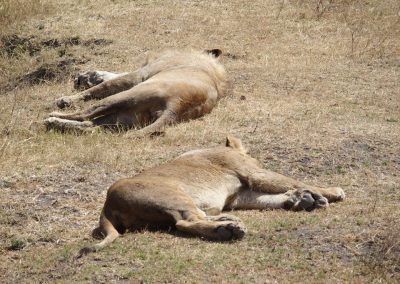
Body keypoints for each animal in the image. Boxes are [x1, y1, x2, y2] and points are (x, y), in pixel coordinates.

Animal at [79, 136, 346, 256]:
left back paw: (229, 222)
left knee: (192, 219)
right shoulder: (253, 173)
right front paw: (331, 191)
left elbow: (272, 197)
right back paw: (228, 230)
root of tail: (107, 203)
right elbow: (291, 180)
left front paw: (303, 199)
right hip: (174, 194)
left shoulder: (241, 194)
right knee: (185, 222)